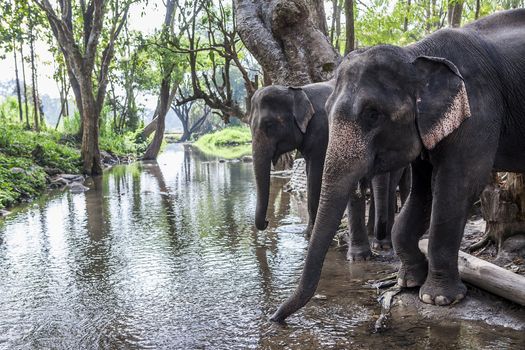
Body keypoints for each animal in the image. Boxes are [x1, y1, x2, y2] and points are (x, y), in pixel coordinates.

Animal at [270, 9, 524, 322]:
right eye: (326, 110)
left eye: (372, 114)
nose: (274, 318)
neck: (416, 53)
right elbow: (424, 190)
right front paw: (408, 280)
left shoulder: (479, 111)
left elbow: (459, 184)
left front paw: (438, 298)